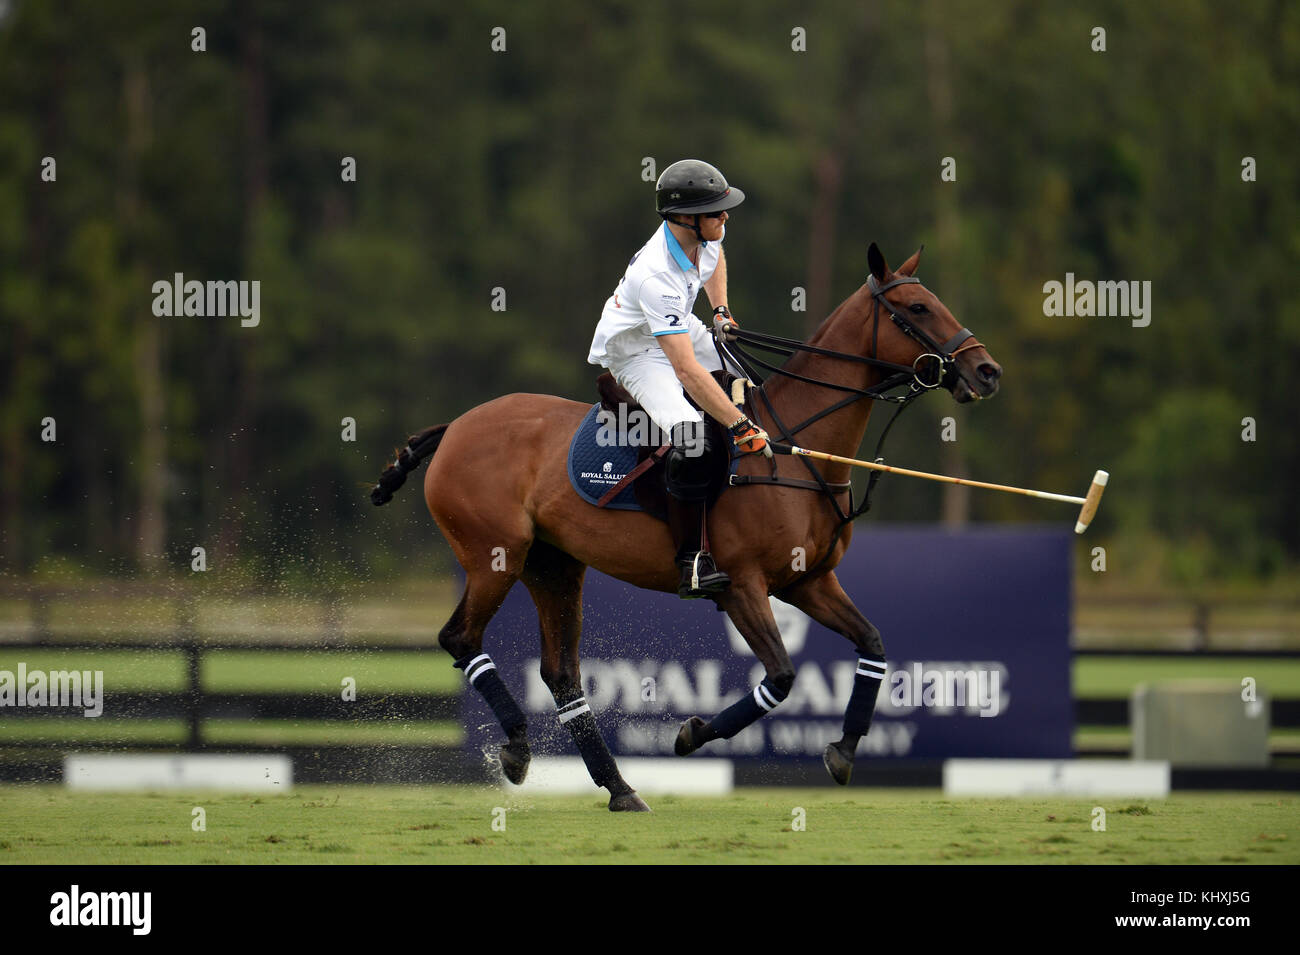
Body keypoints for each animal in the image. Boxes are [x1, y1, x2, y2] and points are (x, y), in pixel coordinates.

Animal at [371, 242, 998, 810]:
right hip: (493, 555)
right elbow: (781, 676)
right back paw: (521, 747)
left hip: (554, 567)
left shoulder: (808, 582)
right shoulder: (742, 585)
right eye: (918, 308)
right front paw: (693, 733)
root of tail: (454, 427)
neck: (794, 447)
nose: (986, 372)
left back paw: (620, 789)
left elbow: (871, 643)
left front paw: (843, 750)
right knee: (460, 638)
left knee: (562, 674)